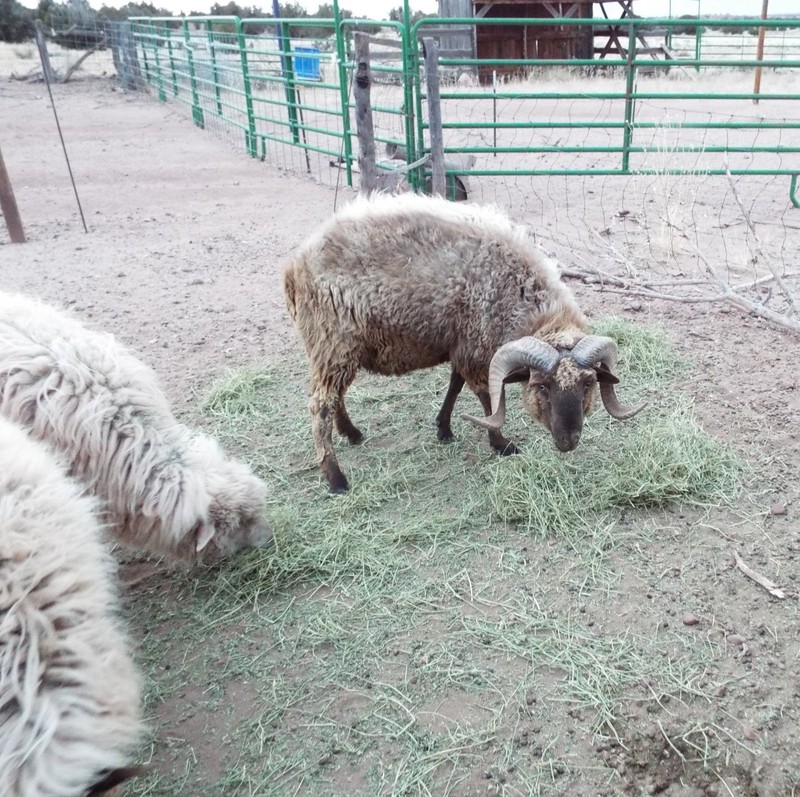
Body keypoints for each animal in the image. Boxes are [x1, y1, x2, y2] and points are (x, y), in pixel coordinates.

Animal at [283, 193, 646, 493]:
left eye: (588, 385)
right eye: (542, 386)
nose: (569, 441)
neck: (519, 294)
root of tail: (295, 265)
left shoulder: (464, 344)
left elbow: (455, 385)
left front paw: (444, 429)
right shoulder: (476, 348)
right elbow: (489, 399)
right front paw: (501, 444)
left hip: (339, 350)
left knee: (335, 397)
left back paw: (352, 433)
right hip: (332, 342)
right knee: (320, 406)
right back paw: (335, 478)